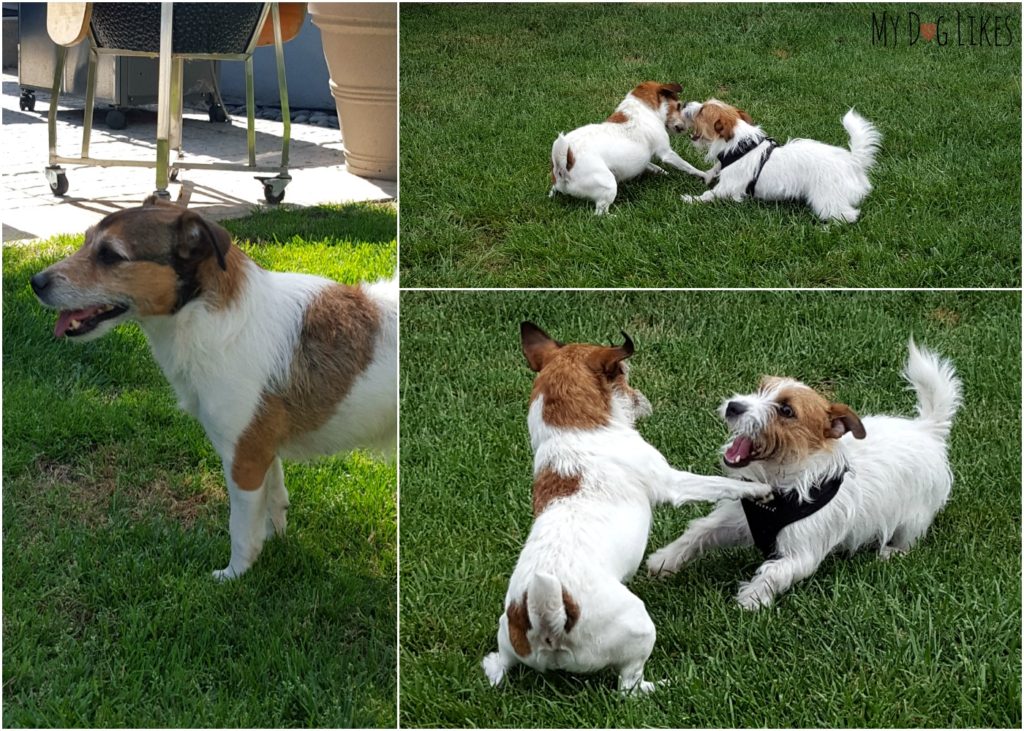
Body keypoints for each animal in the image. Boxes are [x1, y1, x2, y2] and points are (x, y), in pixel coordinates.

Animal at [28, 195, 395, 581]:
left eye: (111, 255)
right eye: (85, 242)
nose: (35, 281)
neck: (209, 317)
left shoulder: (242, 459)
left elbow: (241, 529)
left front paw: (235, 574)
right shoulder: (263, 451)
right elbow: (274, 499)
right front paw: (274, 541)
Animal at [483, 321, 770, 692]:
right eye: (624, 376)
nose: (642, 399)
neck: (570, 432)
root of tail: (548, 623)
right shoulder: (673, 482)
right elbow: (720, 484)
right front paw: (761, 489)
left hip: (506, 636)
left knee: (499, 666)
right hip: (639, 627)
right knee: (628, 687)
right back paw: (665, 685)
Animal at [548, 82, 708, 215]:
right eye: (679, 106)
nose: (687, 127)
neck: (642, 108)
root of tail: (563, 167)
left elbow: (652, 165)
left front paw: (662, 172)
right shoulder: (667, 153)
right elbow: (688, 166)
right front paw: (704, 175)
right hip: (609, 185)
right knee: (600, 213)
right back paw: (616, 216)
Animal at [647, 341, 958, 610]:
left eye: (786, 410)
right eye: (759, 389)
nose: (734, 406)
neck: (781, 484)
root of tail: (926, 429)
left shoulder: (802, 553)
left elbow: (774, 572)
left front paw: (751, 599)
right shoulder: (733, 520)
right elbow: (698, 532)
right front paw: (664, 561)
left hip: (915, 517)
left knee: (909, 539)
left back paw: (891, 552)